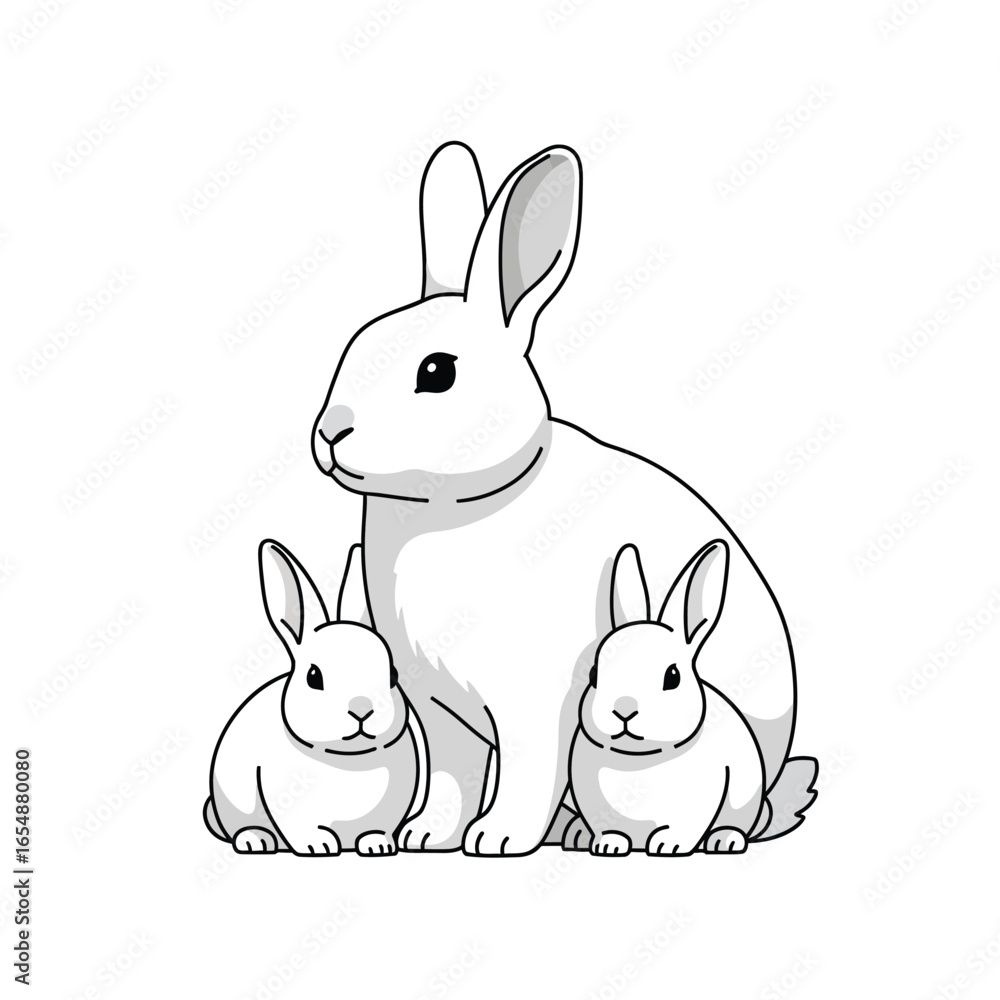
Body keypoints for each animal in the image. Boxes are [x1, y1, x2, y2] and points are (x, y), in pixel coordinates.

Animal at [203, 539, 419, 856]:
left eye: (393, 676)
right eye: (314, 677)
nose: (362, 710)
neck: (347, 758)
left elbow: (377, 829)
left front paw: (377, 845)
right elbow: (301, 828)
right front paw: (318, 846)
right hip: (234, 797)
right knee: (242, 825)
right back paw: (255, 840)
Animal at [565, 540, 817, 856]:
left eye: (673, 676)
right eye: (594, 674)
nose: (623, 710)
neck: (639, 758)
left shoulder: (701, 799)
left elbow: (686, 826)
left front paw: (668, 846)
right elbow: (607, 827)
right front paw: (608, 845)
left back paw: (725, 840)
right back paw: (577, 835)